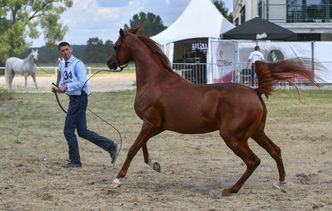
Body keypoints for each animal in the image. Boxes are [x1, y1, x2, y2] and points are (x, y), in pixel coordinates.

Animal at [106, 27, 314, 195]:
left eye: (116, 46)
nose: (109, 63)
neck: (155, 81)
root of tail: (255, 91)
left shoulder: (150, 123)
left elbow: (134, 148)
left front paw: (118, 179)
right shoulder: (155, 125)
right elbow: (143, 146)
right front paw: (155, 165)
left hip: (233, 137)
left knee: (253, 161)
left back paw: (231, 190)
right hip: (256, 132)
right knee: (275, 151)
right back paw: (281, 183)